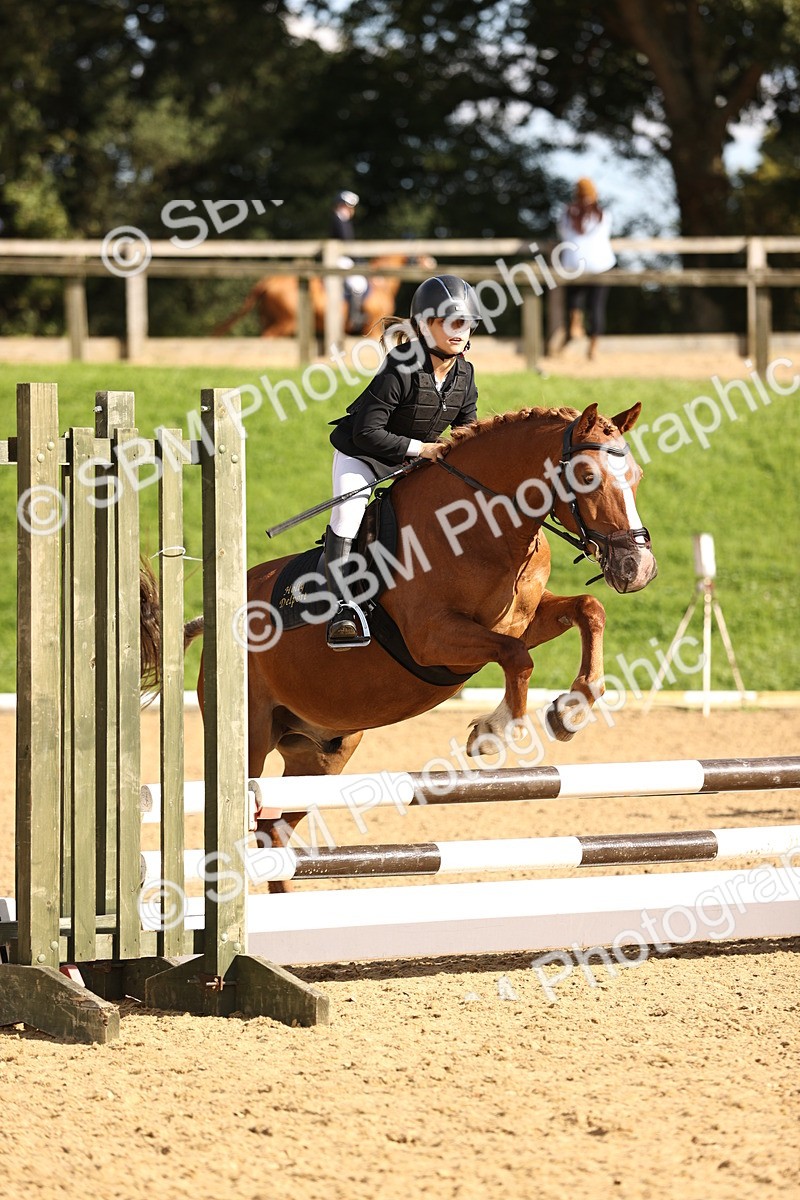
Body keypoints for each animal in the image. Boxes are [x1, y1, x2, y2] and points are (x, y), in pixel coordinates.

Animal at [141, 401, 657, 889]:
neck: (482, 530)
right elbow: (518, 658)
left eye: (637, 478)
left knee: (274, 832)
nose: (637, 568)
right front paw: (493, 732)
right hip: (251, 738)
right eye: (587, 477)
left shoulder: (519, 622)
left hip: (322, 755)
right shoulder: (433, 639)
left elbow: (589, 609)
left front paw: (570, 709)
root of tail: (214, 620)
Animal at [212, 255, 434, 338]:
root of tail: (268, 281)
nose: (432, 263)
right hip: (284, 323)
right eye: (419, 257)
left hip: (269, 320)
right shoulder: (370, 326)